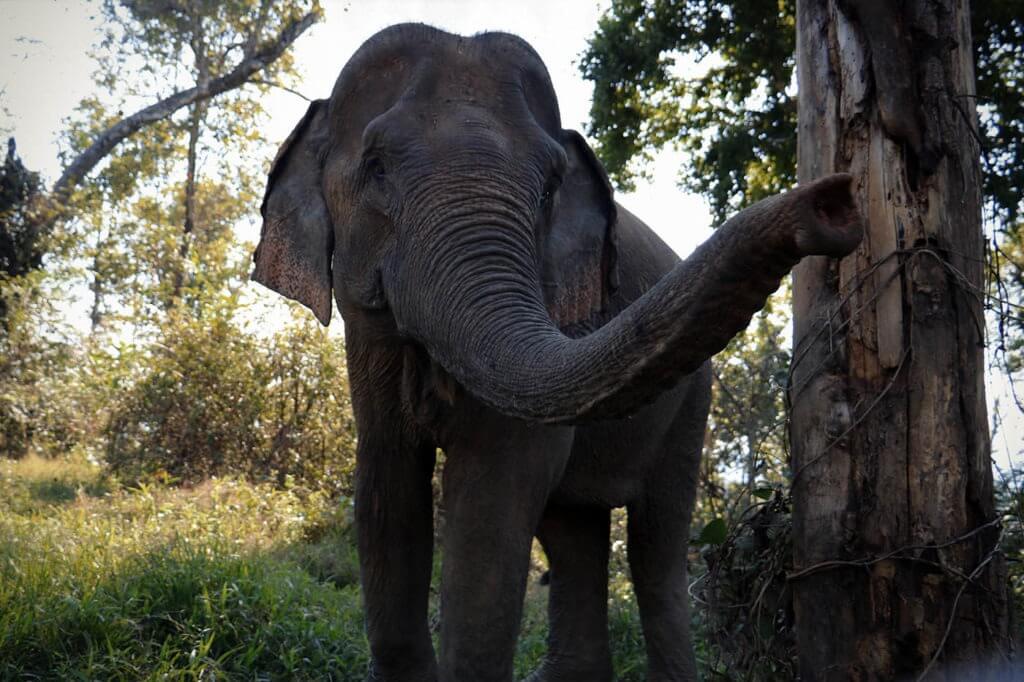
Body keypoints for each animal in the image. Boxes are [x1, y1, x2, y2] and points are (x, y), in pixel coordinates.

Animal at [251, 23, 862, 682]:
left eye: (549, 187)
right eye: (376, 166)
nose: (834, 200)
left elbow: (491, 502)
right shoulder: (369, 346)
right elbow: (388, 491)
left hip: (692, 404)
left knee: (655, 551)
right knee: (574, 531)